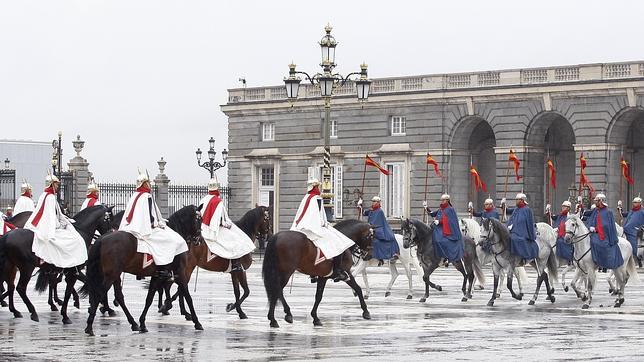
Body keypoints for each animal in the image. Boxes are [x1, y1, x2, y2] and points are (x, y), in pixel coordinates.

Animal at [80, 205, 203, 336]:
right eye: (199, 219)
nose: (199, 239)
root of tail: (102, 238)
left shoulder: (157, 276)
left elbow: (149, 298)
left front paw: (143, 323)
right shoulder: (180, 274)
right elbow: (188, 297)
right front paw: (196, 322)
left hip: (114, 275)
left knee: (118, 296)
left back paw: (133, 323)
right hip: (111, 275)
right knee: (100, 294)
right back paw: (90, 326)